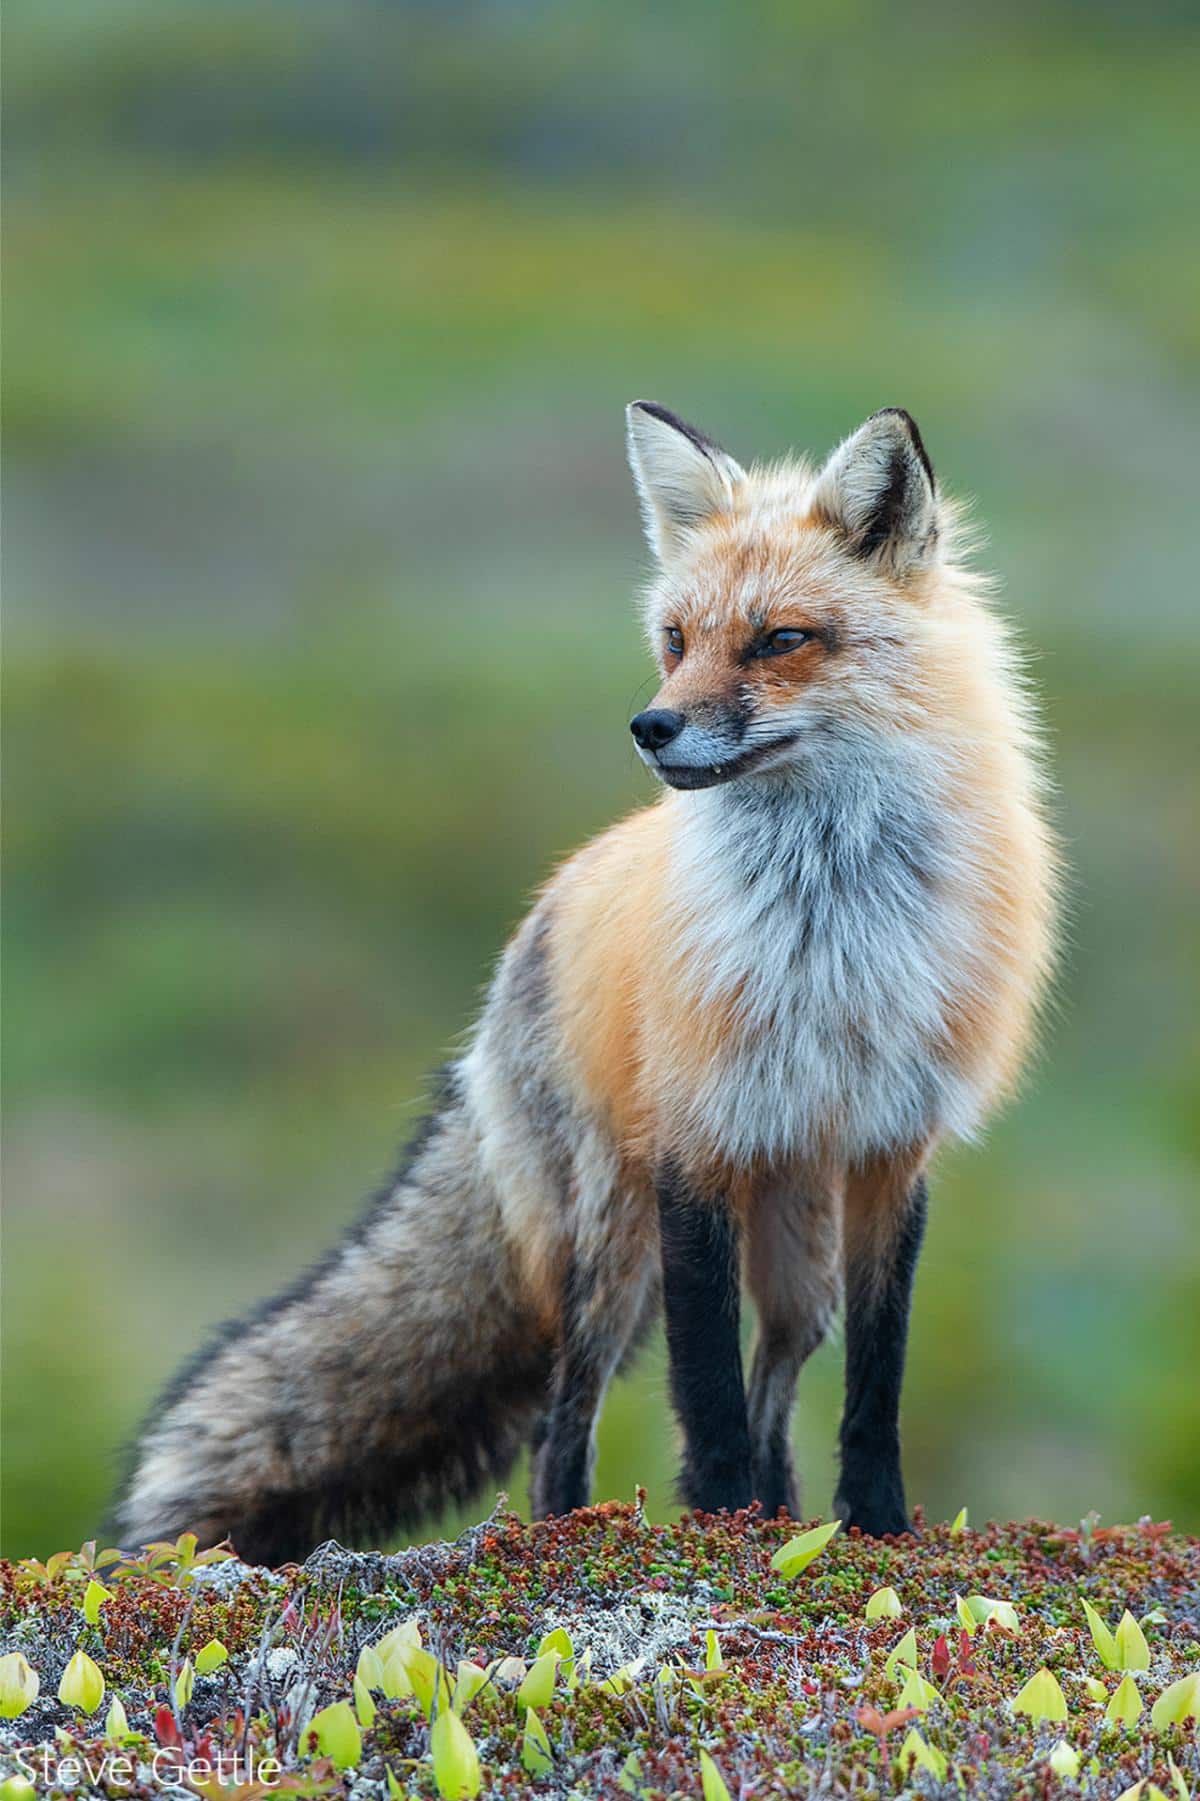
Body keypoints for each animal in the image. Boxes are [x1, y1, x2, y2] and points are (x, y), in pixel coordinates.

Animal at [116, 402, 1057, 1565]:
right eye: (677, 639)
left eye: (780, 639)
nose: (652, 727)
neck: (827, 934)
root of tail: (537, 921)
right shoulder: (696, 1144)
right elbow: (703, 1386)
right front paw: (721, 1526)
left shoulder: (893, 1149)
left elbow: (870, 1385)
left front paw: (873, 1529)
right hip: (612, 1247)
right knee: (562, 1420)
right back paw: (573, 1532)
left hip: (798, 1249)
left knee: (777, 1376)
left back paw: (787, 1518)